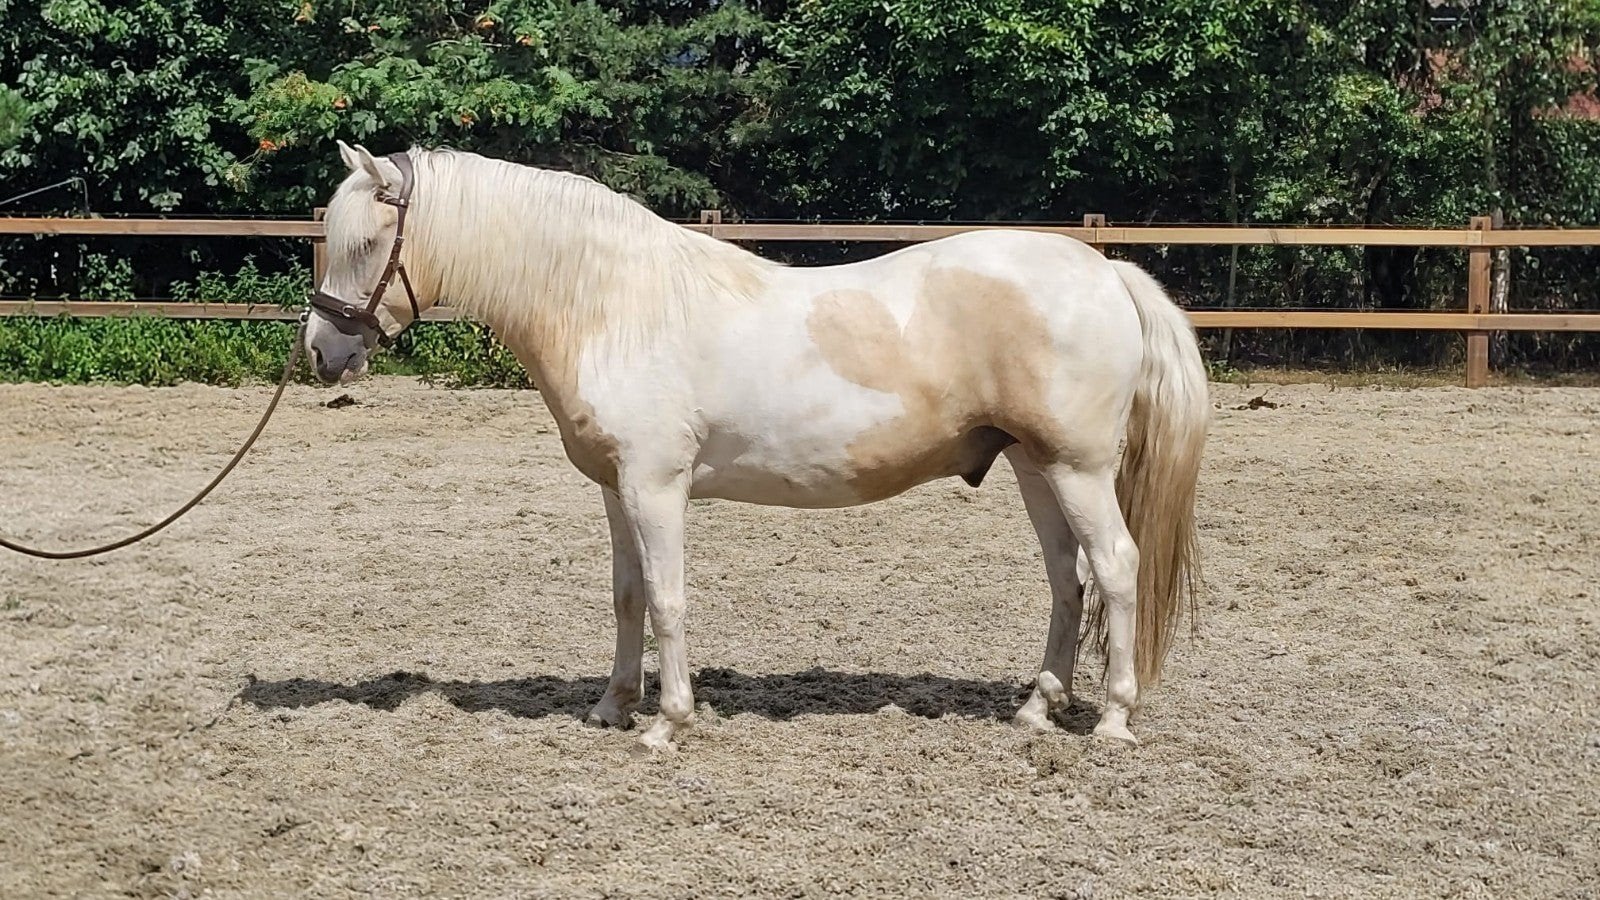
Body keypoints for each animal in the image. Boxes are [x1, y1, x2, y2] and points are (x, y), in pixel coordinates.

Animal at [305, 142, 1210, 751]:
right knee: (1066, 579)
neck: (614, 304)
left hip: (1078, 470)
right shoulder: (615, 489)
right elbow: (627, 597)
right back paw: (1034, 708)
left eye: (364, 244)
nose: (320, 352)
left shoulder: (656, 486)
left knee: (1116, 569)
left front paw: (666, 724)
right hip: (1032, 466)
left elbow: (667, 598)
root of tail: (1105, 272)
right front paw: (611, 706)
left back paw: (1114, 719)